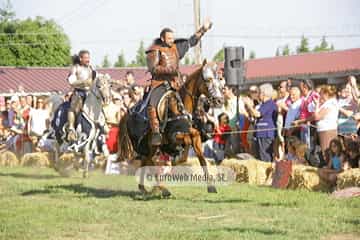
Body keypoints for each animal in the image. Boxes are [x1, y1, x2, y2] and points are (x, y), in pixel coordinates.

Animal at [119, 60, 224, 197]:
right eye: (208, 80)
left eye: (220, 80)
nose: (219, 100)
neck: (181, 106)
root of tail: (128, 114)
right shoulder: (173, 137)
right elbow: (185, 144)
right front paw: (177, 156)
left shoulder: (195, 137)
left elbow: (201, 158)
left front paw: (211, 187)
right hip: (146, 145)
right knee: (150, 161)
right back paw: (162, 188)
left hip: (150, 146)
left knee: (146, 161)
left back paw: (146, 188)